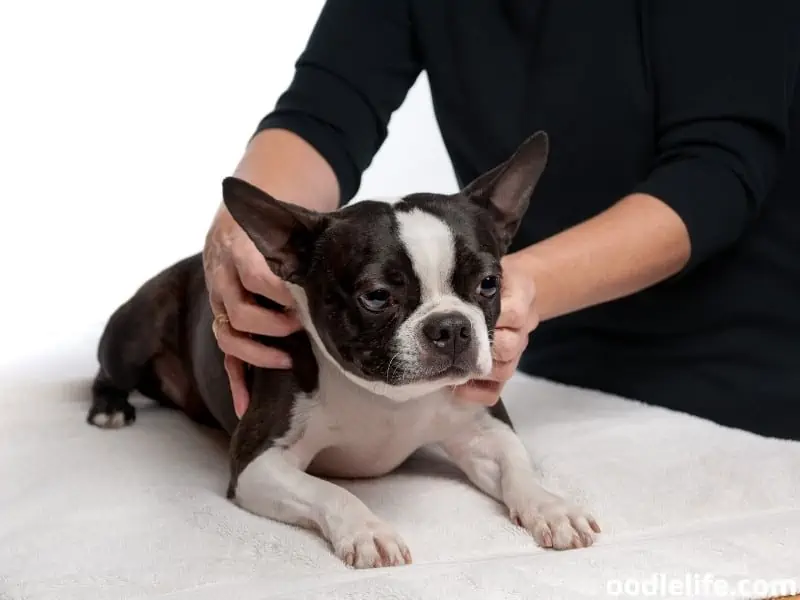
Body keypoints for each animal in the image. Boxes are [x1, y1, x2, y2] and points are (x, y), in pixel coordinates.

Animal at [89, 131, 600, 568]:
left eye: (490, 284)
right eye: (376, 296)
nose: (451, 327)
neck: (389, 398)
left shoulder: (483, 428)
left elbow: (519, 468)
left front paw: (550, 506)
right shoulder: (259, 463)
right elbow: (330, 492)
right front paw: (368, 530)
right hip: (137, 328)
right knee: (108, 369)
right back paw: (109, 407)